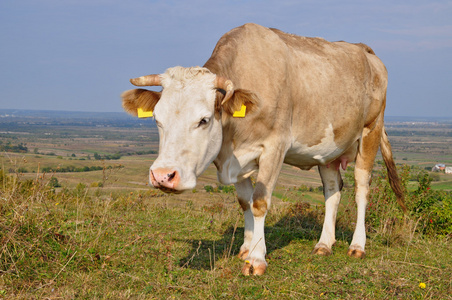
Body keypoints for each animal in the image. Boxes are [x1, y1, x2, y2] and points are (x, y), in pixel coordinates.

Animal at [121, 23, 406, 276]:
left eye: (203, 120)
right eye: (157, 119)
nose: (162, 176)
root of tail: (364, 50)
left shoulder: (274, 147)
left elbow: (259, 202)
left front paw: (257, 259)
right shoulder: (236, 158)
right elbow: (244, 202)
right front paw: (247, 248)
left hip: (370, 131)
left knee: (361, 189)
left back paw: (358, 245)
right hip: (329, 148)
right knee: (333, 191)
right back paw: (324, 244)